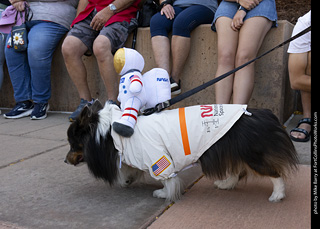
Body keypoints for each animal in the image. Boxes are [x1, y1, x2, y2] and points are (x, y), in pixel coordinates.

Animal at [66, 100, 298, 202]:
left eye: (72, 143)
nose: (65, 161)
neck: (108, 133)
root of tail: (266, 115)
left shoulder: (158, 160)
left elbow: (167, 181)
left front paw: (163, 194)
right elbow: (131, 170)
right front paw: (128, 179)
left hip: (253, 156)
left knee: (275, 174)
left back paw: (277, 195)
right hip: (232, 152)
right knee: (236, 171)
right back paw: (225, 184)